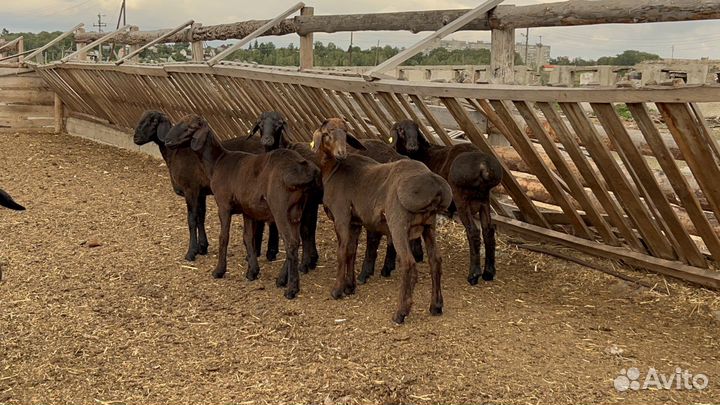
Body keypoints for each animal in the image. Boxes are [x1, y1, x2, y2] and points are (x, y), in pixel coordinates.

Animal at [133, 111, 280, 263]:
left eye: (153, 121)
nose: (136, 138)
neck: (174, 154)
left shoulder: (190, 189)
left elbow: (192, 219)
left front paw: (191, 252)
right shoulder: (200, 192)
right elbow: (201, 216)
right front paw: (202, 247)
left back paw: (266, 252)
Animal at [164, 114, 319, 299]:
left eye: (190, 127)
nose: (167, 141)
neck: (217, 162)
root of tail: (304, 170)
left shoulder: (223, 205)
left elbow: (224, 237)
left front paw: (219, 271)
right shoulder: (248, 210)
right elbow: (248, 238)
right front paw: (252, 272)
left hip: (281, 209)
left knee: (291, 242)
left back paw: (291, 289)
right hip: (297, 211)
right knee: (297, 240)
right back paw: (282, 279)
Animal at [312, 118, 452, 323]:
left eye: (345, 133)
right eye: (327, 133)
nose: (341, 153)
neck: (334, 169)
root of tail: (436, 186)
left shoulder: (342, 215)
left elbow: (342, 252)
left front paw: (337, 290)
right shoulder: (355, 222)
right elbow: (351, 252)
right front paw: (350, 286)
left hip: (398, 222)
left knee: (409, 264)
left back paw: (400, 313)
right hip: (428, 225)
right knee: (436, 261)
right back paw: (436, 306)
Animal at [391, 119, 503, 284]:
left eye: (416, 130)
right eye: (401, 130)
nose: (413, 146)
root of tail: (484, 167)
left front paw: (416, 253)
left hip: (461, 198)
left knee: (473, 232)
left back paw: (474, 274)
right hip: (483, 199)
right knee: (488, 231)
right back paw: (489, 272)